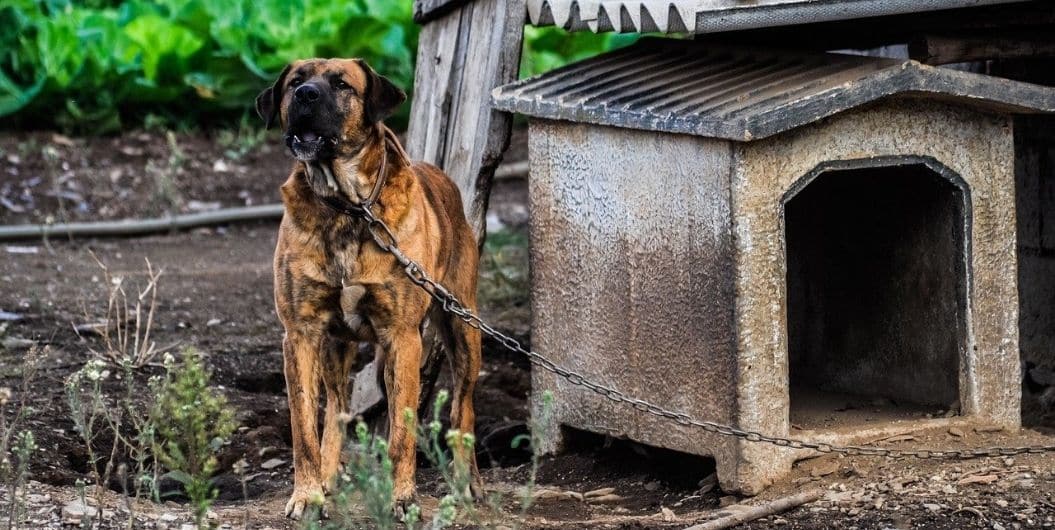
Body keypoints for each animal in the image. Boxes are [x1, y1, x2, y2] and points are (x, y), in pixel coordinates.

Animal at [257, 59, 483, 519]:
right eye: (294, 82)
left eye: (342, 84)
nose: (306, 94)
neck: (347, 207)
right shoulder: (301, 334)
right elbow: (304, 426)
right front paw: (307, 494)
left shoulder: (402, 337)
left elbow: (402, 432)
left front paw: (404, 498)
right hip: (335, 347)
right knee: (337, 410)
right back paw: (328, 478)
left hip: (463, 328)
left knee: (462, 408)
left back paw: (467, 483)